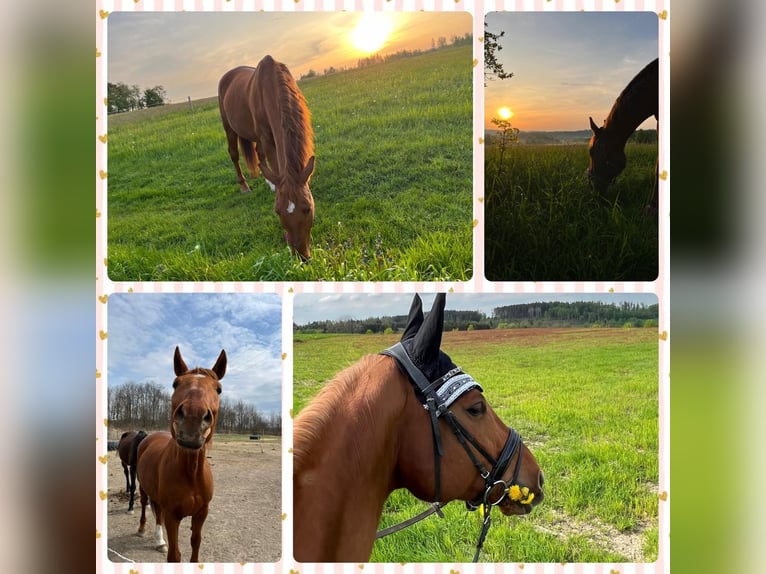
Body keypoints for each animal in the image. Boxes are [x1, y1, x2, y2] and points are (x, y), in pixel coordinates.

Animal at [136, 346, 225, 564]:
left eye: (218, 388)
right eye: (175, 384)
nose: (193, 417)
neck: (191, 473)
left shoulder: (201, 513)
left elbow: (196, 543)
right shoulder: (172, 516)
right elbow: (174, 555)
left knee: (157, 513)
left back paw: (160, 541)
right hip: (143, 487)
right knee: (144, 506)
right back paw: (142, 530)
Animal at [219, 54, 316, 260]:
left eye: (307, 208)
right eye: (277, 212)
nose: (301, 255)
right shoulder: (268, 138)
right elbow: (277, 166)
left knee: (259, 155)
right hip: (229, 127)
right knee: (234, 154)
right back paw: (244, 186)